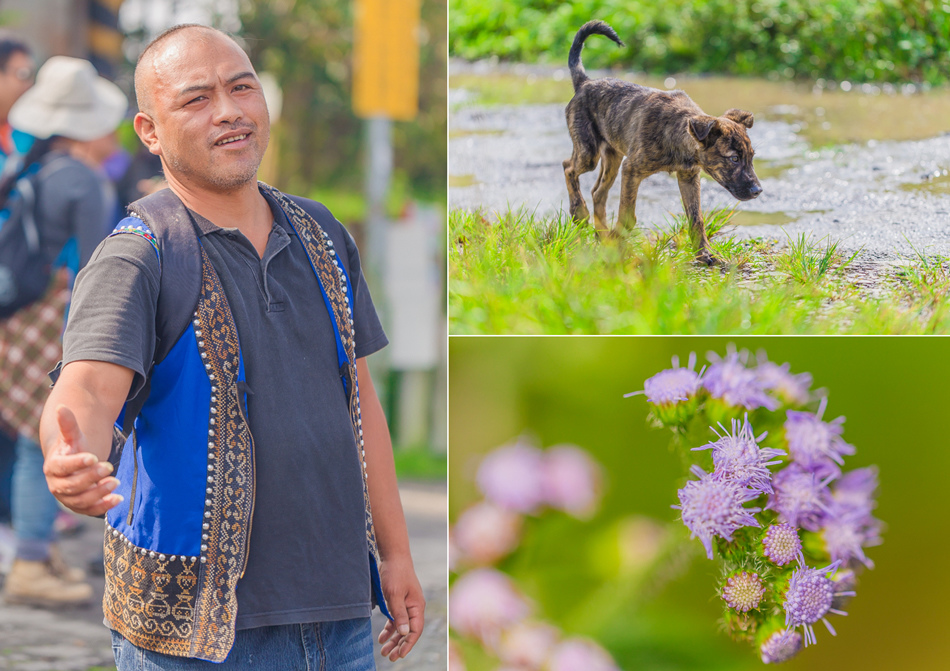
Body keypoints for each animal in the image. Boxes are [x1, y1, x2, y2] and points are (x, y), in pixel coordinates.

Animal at [564, 19, 768, 266]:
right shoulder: (631, 170)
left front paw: (705, 253)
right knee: (569, 168)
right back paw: (580, 213)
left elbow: (696, 217)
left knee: (598, 192)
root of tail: (585, 82)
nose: (758, 191)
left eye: (751, 157)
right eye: (734, 159)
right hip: (589, 151)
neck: (677, 135)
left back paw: (601, 235)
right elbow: (628, 216)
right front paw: (617, 241)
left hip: (613, 156)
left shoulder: (689, 177)